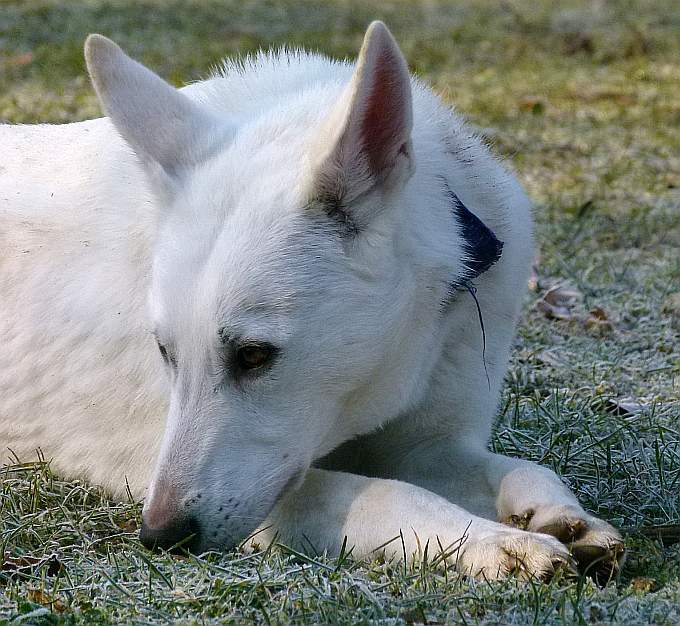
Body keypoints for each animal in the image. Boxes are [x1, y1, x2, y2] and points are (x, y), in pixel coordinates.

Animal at [1, 22, 628, 576]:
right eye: (165, 354)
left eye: (254, 355)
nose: (160, 536)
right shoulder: (266, 489)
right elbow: (389, 496)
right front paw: (490, 543)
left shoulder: (426, 446)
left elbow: (523, 468)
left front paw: (559, 514)